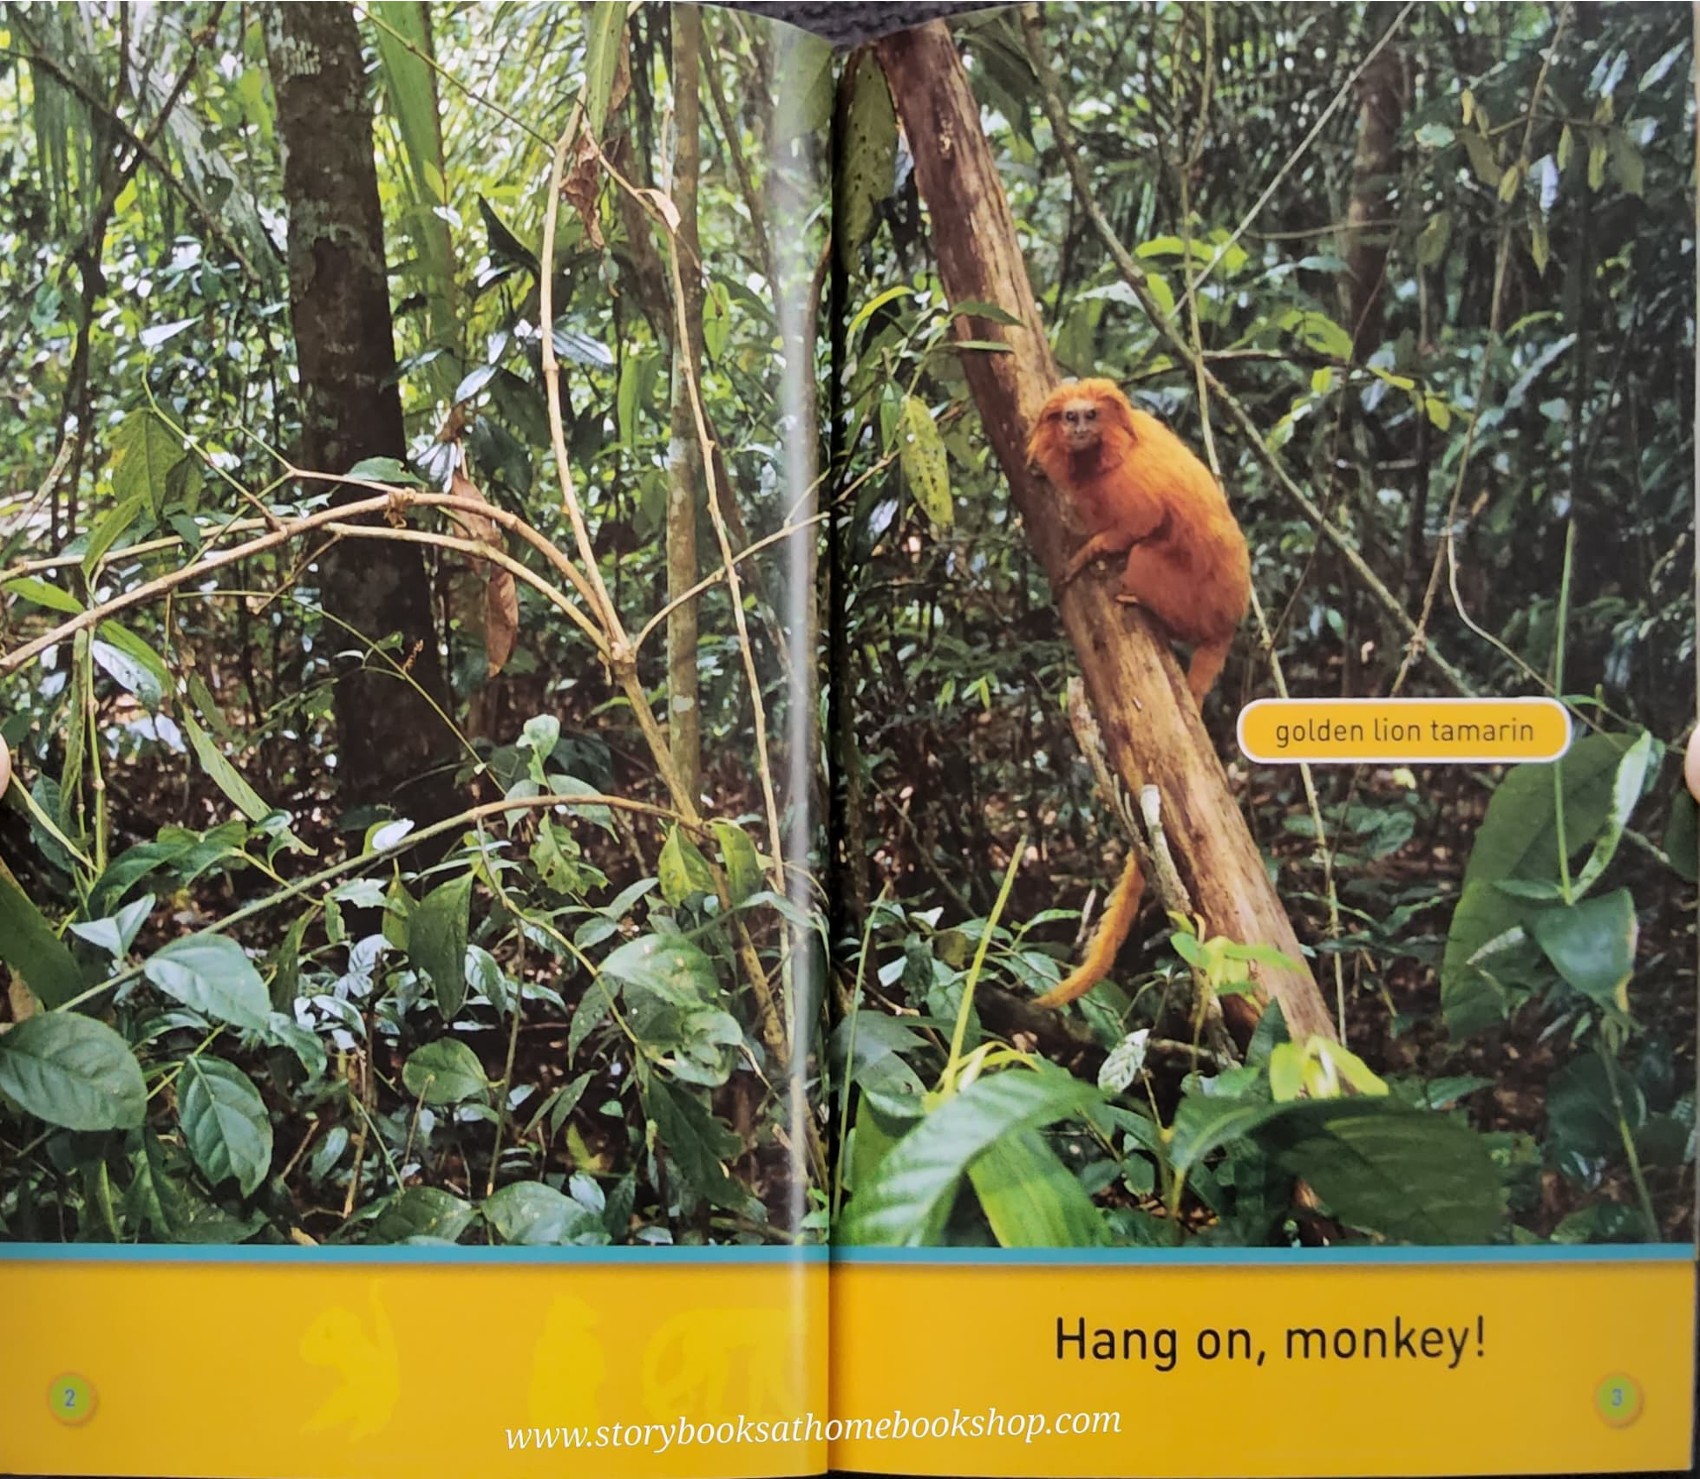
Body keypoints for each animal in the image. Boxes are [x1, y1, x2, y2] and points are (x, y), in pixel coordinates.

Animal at [1025, 379, 1251, 1009]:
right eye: (1069, 417)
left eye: (1088, 417)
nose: (1078, 429)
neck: (1104, 454)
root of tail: (1226, 625)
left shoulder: (1130, 486)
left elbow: (1143, 523)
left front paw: (1091, 549)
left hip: (1185, 596)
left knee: (1147, 554)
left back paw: (1134, 595)